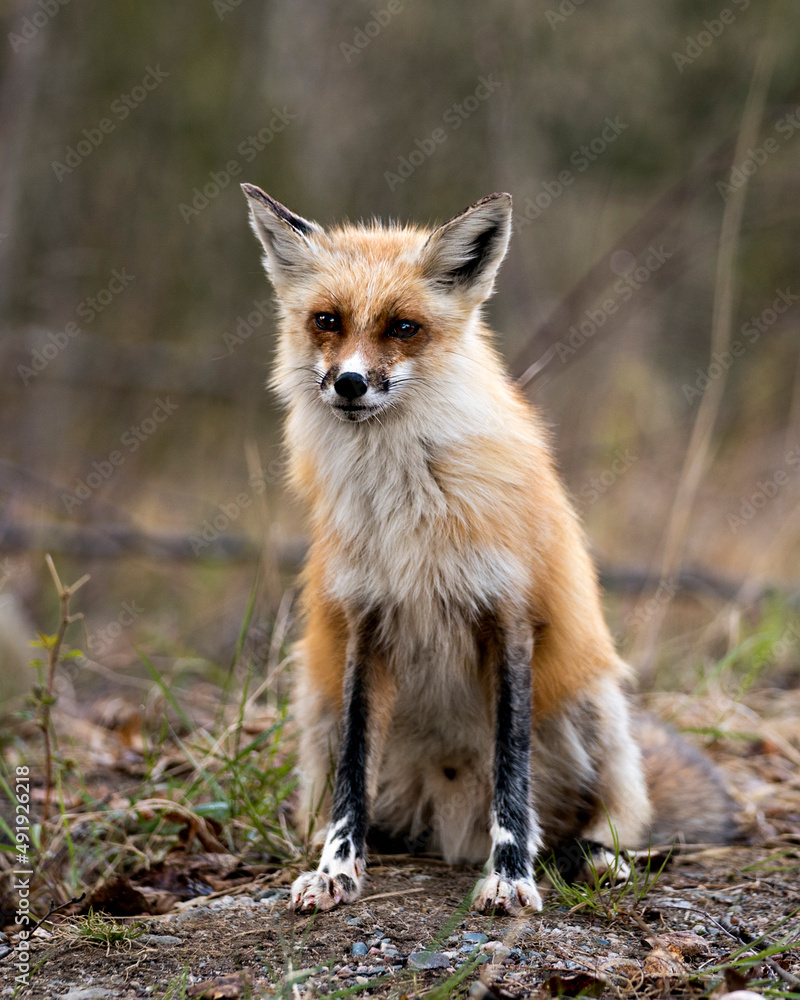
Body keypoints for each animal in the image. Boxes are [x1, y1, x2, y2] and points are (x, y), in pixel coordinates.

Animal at [240, 185, 737, 915]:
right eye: (326, 320)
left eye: (404, 328)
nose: (349, 384)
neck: (408, 499)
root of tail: (451, 824)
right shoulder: (365, 621)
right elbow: (353, 775)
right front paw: (338, 870)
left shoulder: (510, 617)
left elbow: (512, 772)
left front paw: (510, 877)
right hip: (316, 698)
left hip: (591, 704)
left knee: (602, 817)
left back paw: (591, 858)